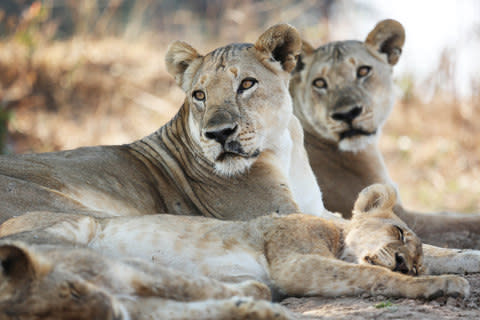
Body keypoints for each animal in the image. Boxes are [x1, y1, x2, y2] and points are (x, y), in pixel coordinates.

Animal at [0, 184, 468, 318]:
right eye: (399, 232)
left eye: (419, 261)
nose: (407, 265)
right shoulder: (291, 262)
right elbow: (372, 274)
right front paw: (447, 282)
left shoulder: (273, 274)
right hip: (75, 226)